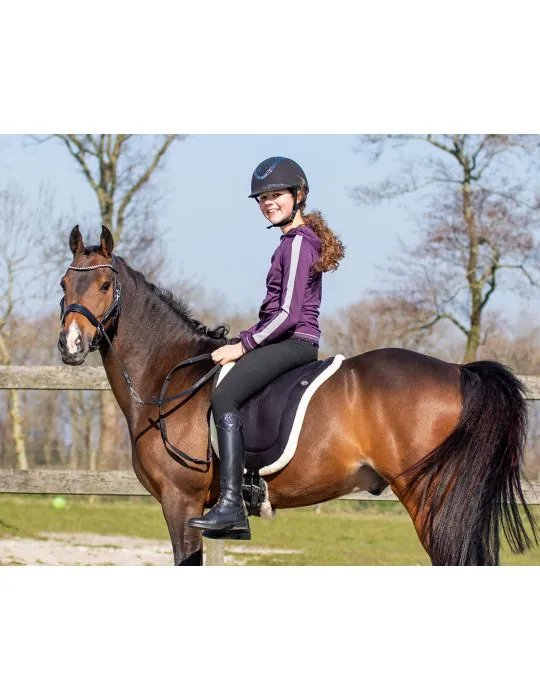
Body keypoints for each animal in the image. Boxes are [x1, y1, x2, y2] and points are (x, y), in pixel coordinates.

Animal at [57, 225, 538, 566]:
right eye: (64, 284)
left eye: (104, 286)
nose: (70, 344)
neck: (169, 378)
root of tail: (458, 371)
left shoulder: (182, 504)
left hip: (433, 500)